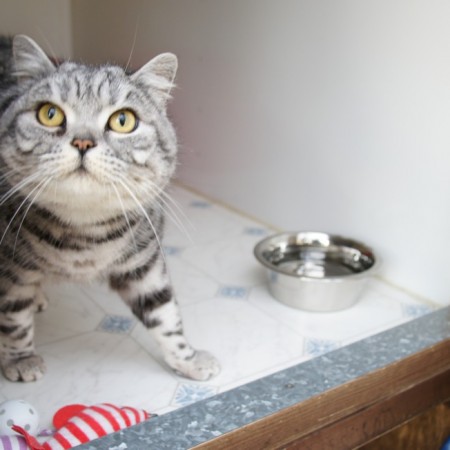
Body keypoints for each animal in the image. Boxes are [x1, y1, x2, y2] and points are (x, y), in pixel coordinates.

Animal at [0, 34, 220, 384]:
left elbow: (165, 314)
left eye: (123, 120)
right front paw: (22, 360)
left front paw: (188, 359)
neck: (84, 234)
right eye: (49, 113)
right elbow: (13, 318)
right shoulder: (11, 271)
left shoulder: (145, 264)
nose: (83, 142)